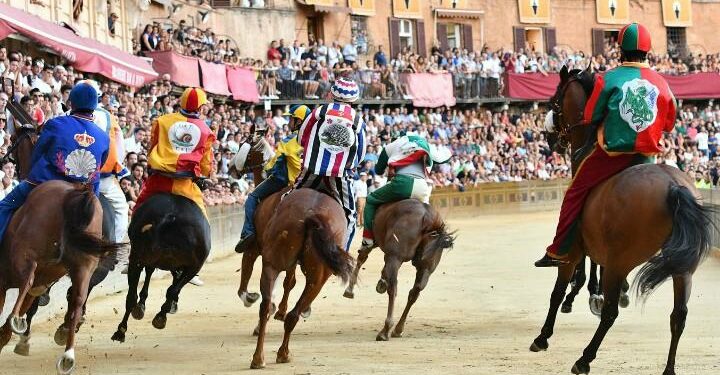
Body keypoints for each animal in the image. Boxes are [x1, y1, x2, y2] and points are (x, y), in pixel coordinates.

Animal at [0, 181, 118, 374]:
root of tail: (77, 194)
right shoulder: (35, 288)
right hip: (84, 268)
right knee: (77, 300)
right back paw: (67, 356)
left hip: (26, 253)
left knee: (28, 278)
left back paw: (16, 320)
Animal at [111, 194, 210, 344]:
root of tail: (169, 217)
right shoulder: (190, 267)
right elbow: (172, 288)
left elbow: (153, 277)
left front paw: (142, 306)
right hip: (192, 265)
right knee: (169, 289)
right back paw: (157, 317)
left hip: (137, 257)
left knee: (131, 296)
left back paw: (121, 330)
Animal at [250, 188, 354, 370]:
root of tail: (311, 216)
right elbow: (290, 283)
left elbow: (288, 282)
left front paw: (280, 311)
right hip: (318, 278)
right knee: (294, 314)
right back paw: (283, 353)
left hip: (272, 262)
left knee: (266, 306)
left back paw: (258, 358)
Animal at [344, 201, 456, 342]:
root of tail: (428, 218)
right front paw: (381, 282)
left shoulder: (379, 245)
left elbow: (362, 258)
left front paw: (350, 290)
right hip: (426, 267)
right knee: (414, 292)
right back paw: (398, 329)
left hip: (395, 258)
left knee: (393, 289)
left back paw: (385, 330)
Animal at [528, 65, 716, 375]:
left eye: (554, 101)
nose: (550, 138)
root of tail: (672, 187)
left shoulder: (575, 249)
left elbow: (558, 290)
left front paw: (544, 335)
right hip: (683, 269)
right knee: (679, 316)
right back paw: (668, 368)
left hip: (621, 260)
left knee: (610, 313)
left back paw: (584, 358)